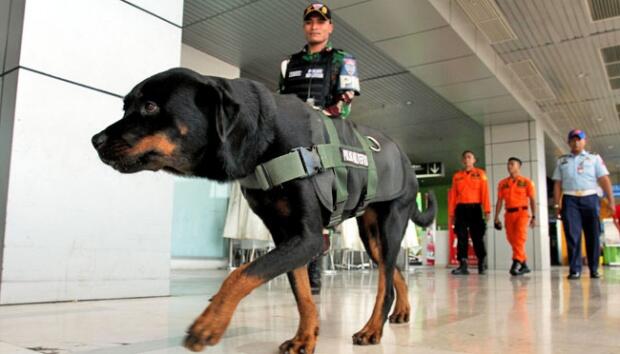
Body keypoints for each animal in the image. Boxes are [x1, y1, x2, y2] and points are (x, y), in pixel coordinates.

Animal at [92, 68, 436, 352]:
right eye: (125, 106)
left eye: (150, 107)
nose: (95, 140)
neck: (263, 141)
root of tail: (407, 161)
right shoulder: (286, 236)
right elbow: (301, 294)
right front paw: (305, 337)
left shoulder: (308, 238)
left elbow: (240, 274)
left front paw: (210, 323)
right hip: (372, 235)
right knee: (393, 272)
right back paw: (402, 311)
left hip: (391, 222)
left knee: (386, 282)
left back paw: (372, 329)